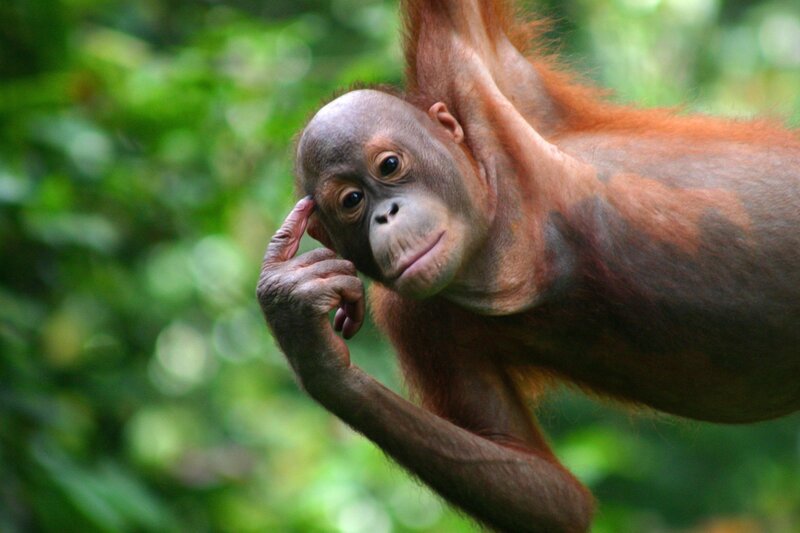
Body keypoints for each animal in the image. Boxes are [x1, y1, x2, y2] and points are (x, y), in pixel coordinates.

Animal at [256, 1, 800, 531]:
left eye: (389, 166)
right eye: (351, 201)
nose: (385, 214)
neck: (498, 233)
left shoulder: (467, 75)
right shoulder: (417, 319)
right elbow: (550, 492)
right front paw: (310, 342)